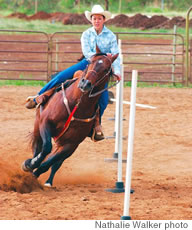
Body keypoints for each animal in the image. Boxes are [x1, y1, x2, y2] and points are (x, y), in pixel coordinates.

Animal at [22, 46, 118, 187]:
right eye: (90, 62)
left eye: (106, 69)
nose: (85, 84)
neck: (76, 104)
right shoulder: (45, 123)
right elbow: (46, 148)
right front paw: (29, 164)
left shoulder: (71, 144)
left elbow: (49, 163)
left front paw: (35, 174)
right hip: (37, 127)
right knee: (38, 147)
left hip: (65, 145)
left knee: (56, 163)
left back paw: (48, 182)